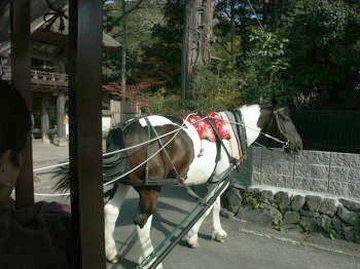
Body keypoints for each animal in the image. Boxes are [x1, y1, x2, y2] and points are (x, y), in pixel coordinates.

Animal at [57, 103, 304, 268]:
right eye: (286, 120)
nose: (300, 145)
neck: (232, 132)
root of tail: (125, 128)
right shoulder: (219, 181)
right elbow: (207, 208)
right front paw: (193, 236)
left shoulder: (214, 181)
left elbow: (212, 206)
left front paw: (216, 233)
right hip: (150, 188)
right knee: (142, 222)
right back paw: (150, 260)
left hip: (124, 181)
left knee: (110, 211)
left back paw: (111, 252)